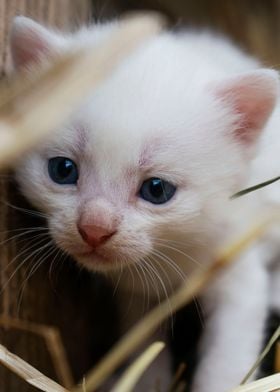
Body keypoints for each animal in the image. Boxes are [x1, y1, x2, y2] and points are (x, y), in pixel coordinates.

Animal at [9, 16, 280, 392]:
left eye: (156, 189)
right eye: (62, 169)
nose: (94, 229)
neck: (176, 250)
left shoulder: (238, 270)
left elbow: (227, 361)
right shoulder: (136, 294)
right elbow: (144, 348)